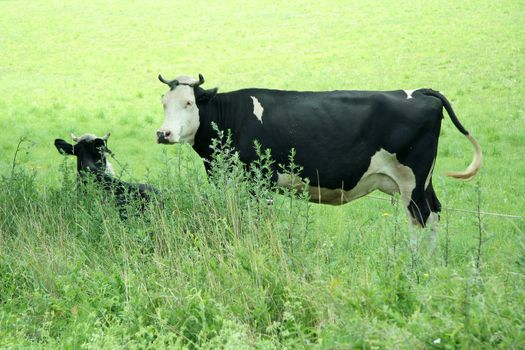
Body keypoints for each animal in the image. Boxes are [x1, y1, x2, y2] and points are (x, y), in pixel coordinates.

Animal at [154, 74, 482, 227]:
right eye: (164, 102)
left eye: (189, 103)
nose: (163, 133)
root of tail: (422, 91)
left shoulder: (259, 182)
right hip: (423, 181)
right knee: (434, 213)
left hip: (412, 180)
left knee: (422, 218)